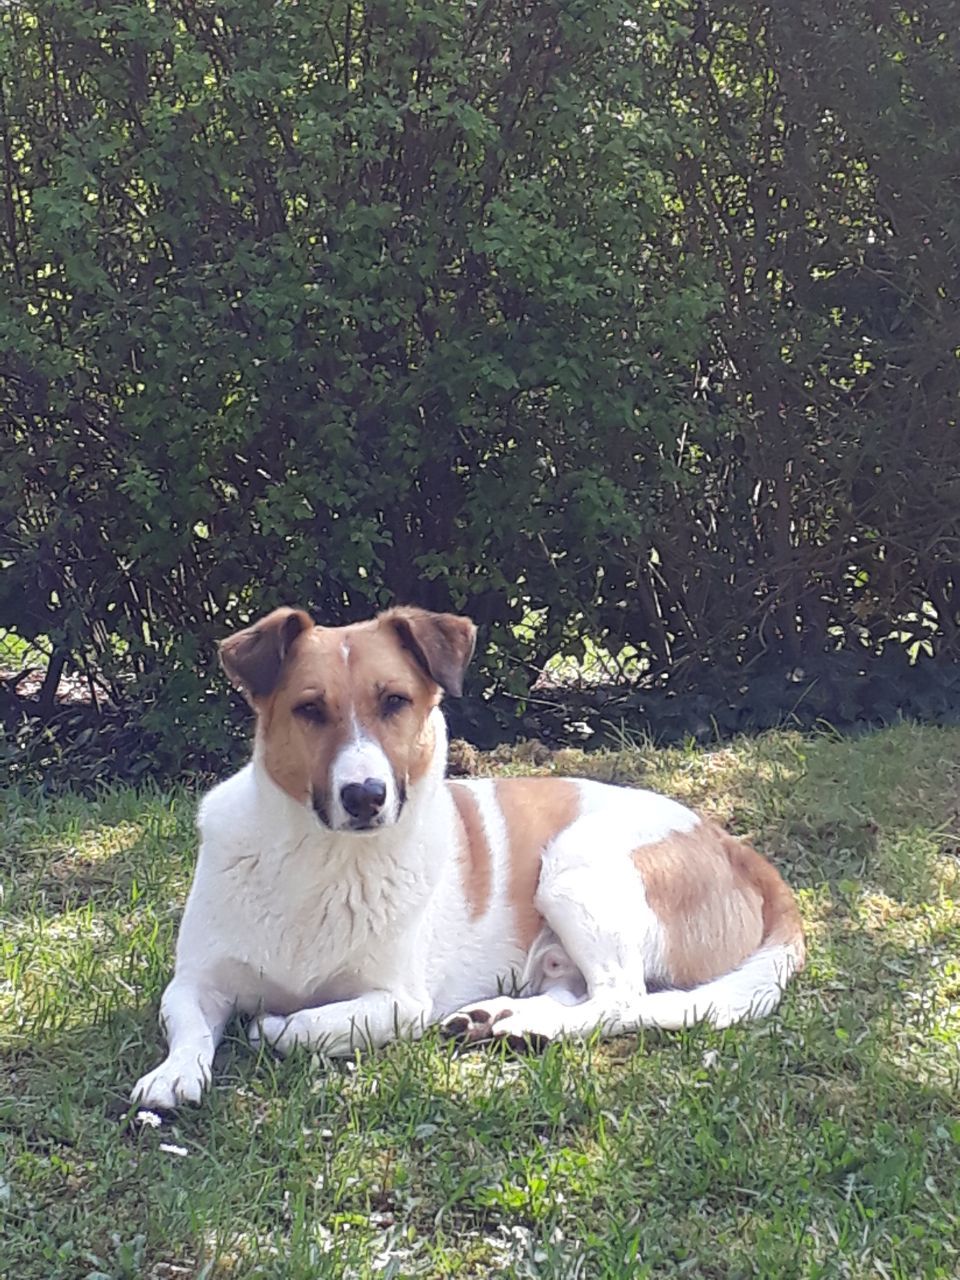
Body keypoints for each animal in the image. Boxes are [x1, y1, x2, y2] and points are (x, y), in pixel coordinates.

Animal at [132, 605, 804, 1109]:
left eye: (395, 701)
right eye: (309, 709)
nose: (365, 796)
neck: (323, 859)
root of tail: (733, 846)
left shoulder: (399, 1003)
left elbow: (304, 1027)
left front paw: (272, 1026)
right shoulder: (196, 982)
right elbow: (189, 1024)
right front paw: (175, 1073)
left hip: (576, 868)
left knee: (622, 998)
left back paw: (529, 1025)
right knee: (582, 992)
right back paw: (497, 1015)